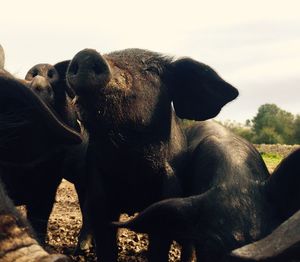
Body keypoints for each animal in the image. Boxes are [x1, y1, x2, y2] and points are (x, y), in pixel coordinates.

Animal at [66, 48, 239, 260]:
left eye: (152, 70)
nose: (87, 54)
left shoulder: (169, 193)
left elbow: (159, 245)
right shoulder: (98, 190)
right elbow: (105, 242)